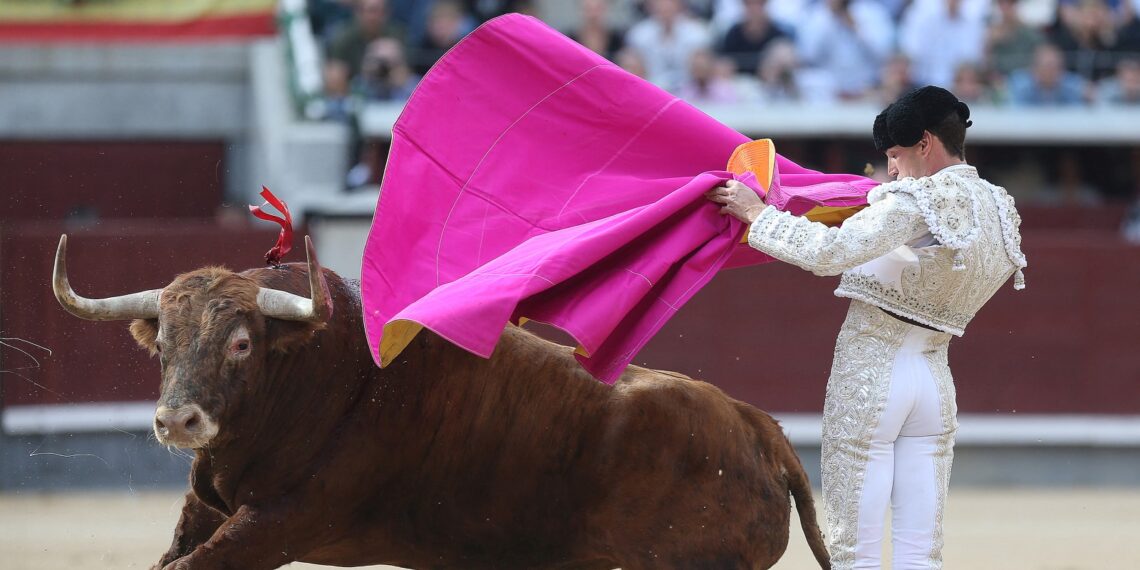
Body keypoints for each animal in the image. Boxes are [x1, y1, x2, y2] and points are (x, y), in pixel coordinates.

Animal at [51, 233, 829, 567]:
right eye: (161, 342)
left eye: (243, 343)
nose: (176, 420)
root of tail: (759, 428)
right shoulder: (207, 508)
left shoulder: (280, 524)